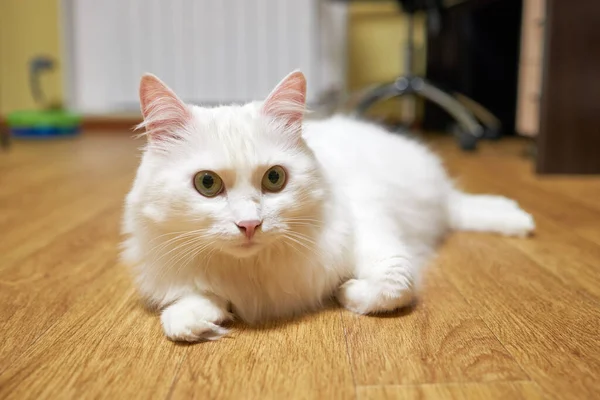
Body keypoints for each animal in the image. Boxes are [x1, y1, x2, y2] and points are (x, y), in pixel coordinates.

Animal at [122, 70, 536, 342]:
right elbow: (189, 305)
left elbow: (392, 286)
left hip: (431, 199)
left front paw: (346, 292)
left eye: (275, 179)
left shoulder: (378, 242)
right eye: (207, 184)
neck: (252, 271)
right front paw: (195, 320)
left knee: (459, 207)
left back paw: (518, 218)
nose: (250, 225)